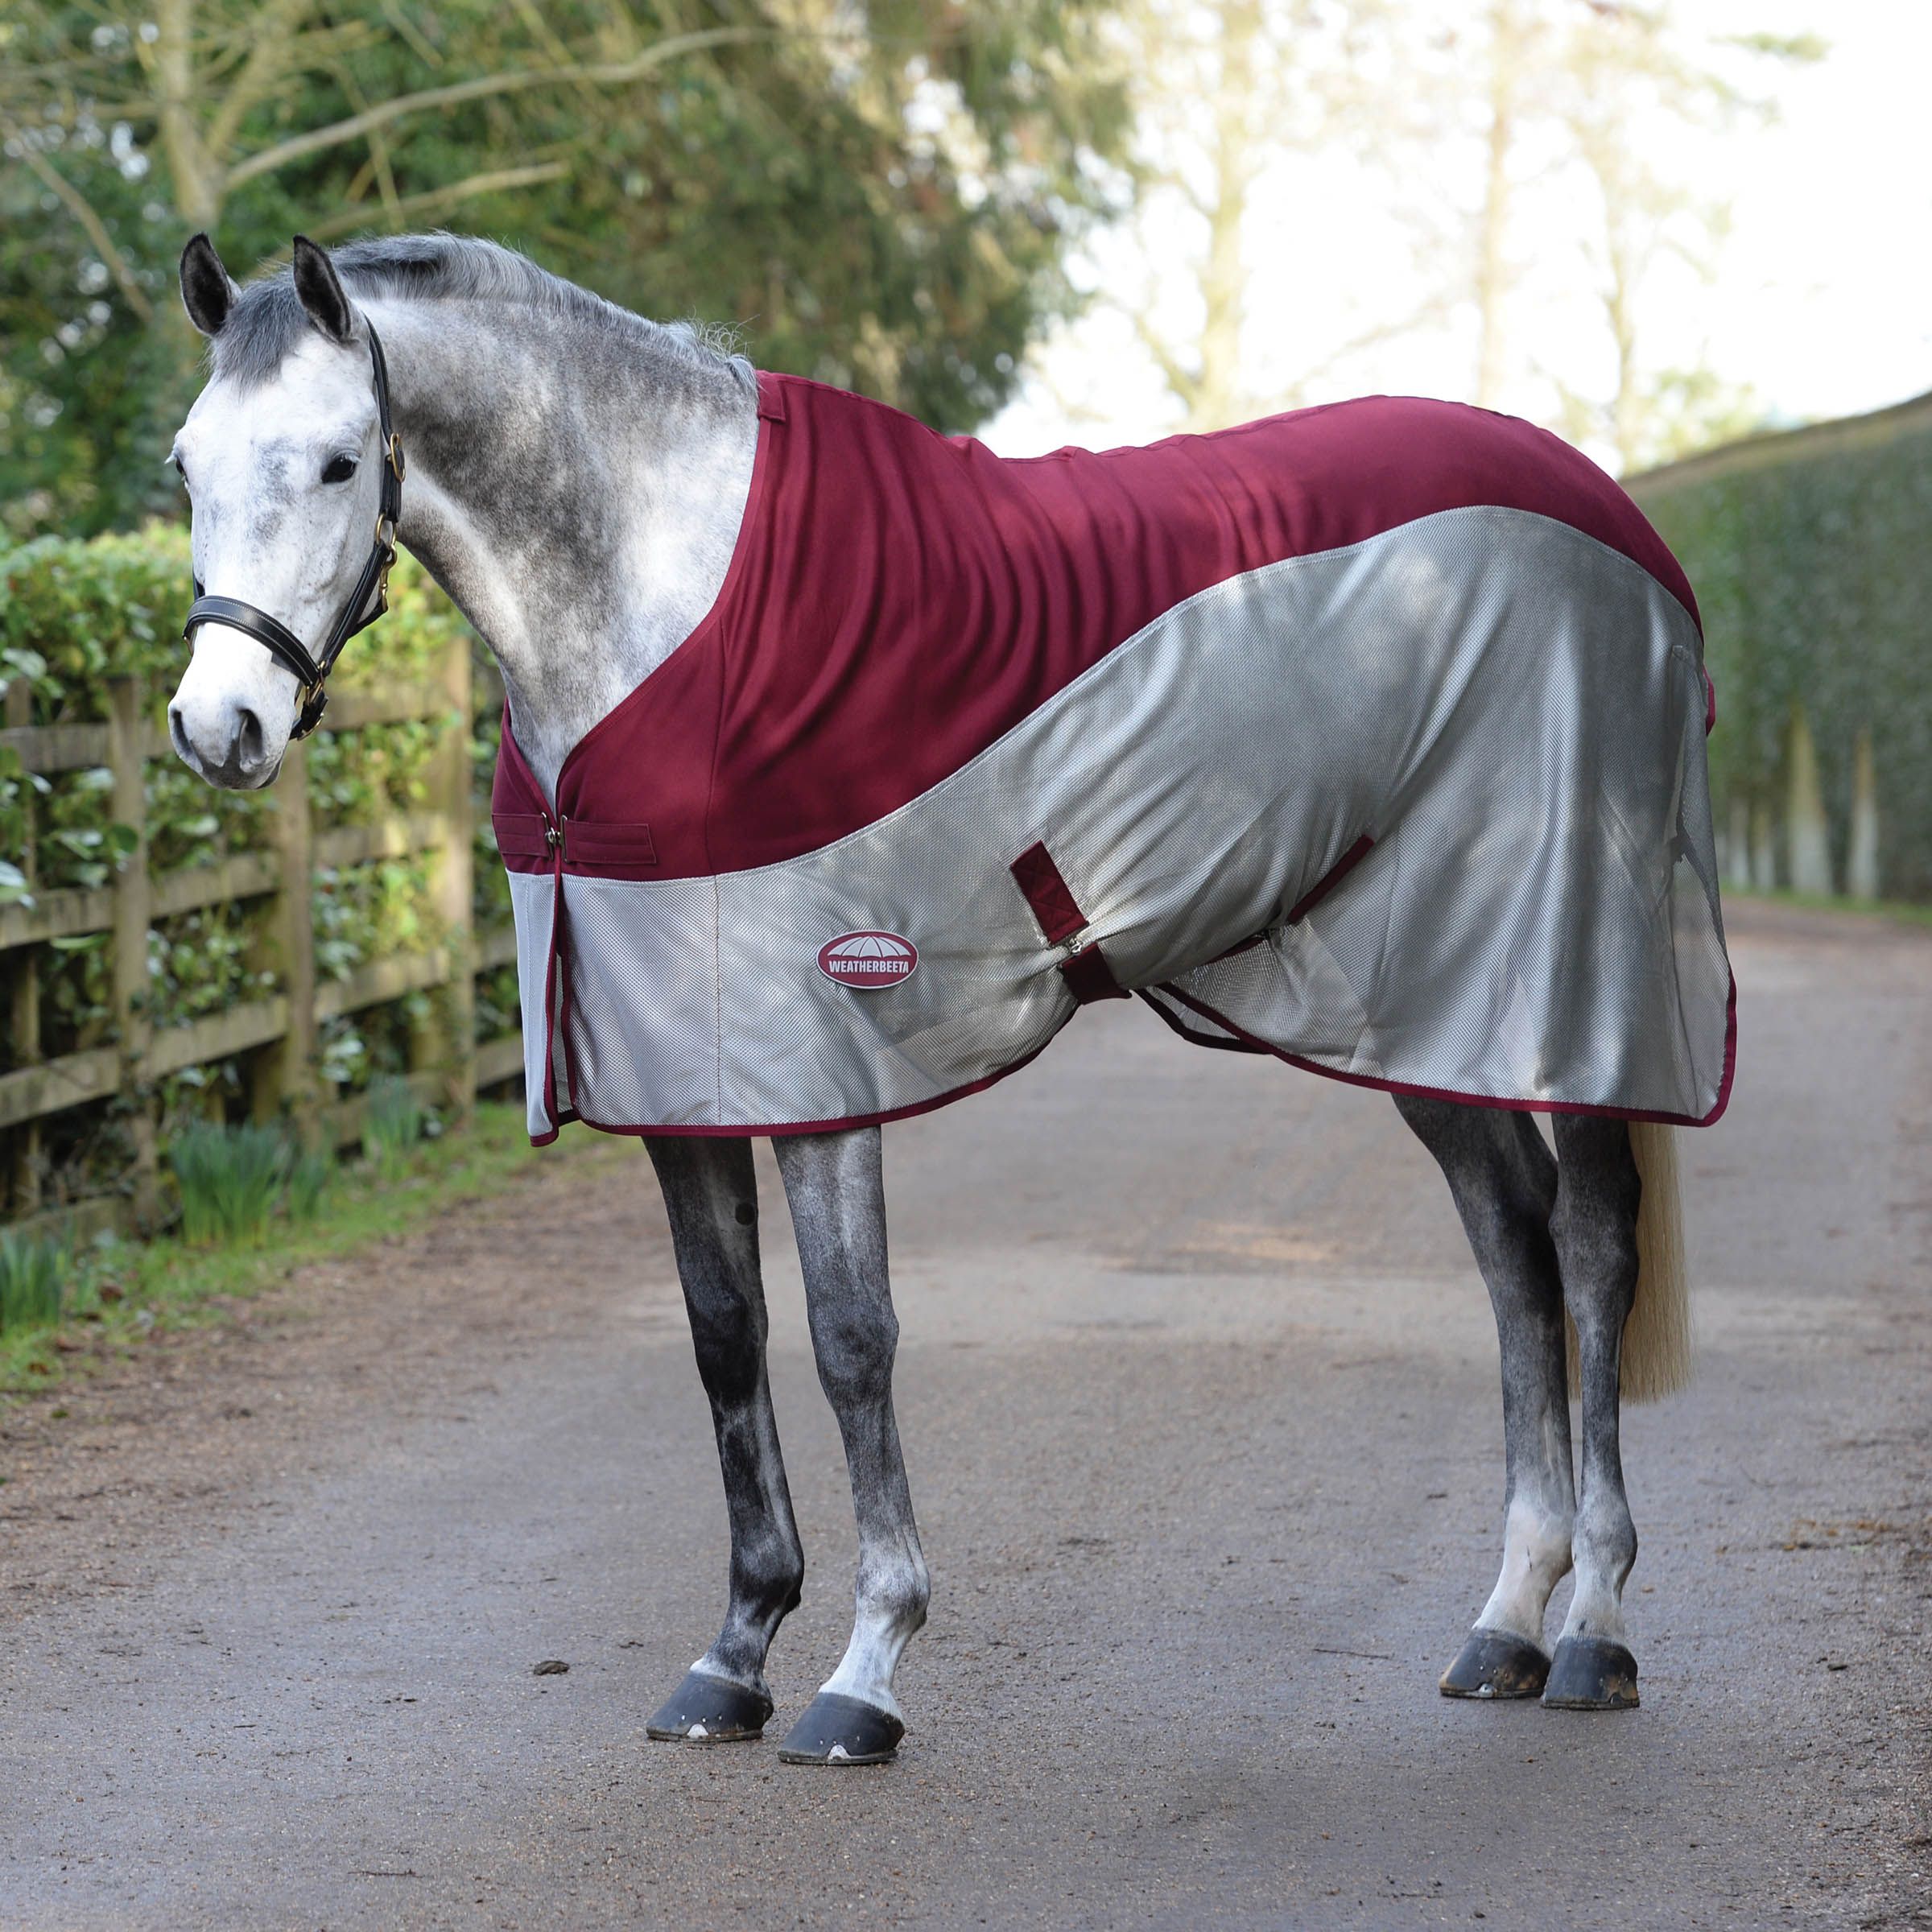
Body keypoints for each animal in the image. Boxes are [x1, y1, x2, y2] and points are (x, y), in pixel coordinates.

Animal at [165, 231, 1724, 1765]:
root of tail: (1614, 521)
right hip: (1416, 998)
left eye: (339, 463)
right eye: (185, 464)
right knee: (1511, 1247)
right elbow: (725, 1338)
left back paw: (1595, 1630)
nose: (213, 727)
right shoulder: (675, 1074)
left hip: (1568, 969)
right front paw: (732, 1657)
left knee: (1589, 1246)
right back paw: (1506, 1625)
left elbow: (854, 1343)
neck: (672, 612)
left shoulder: (821, 1063)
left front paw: (866, 1670)